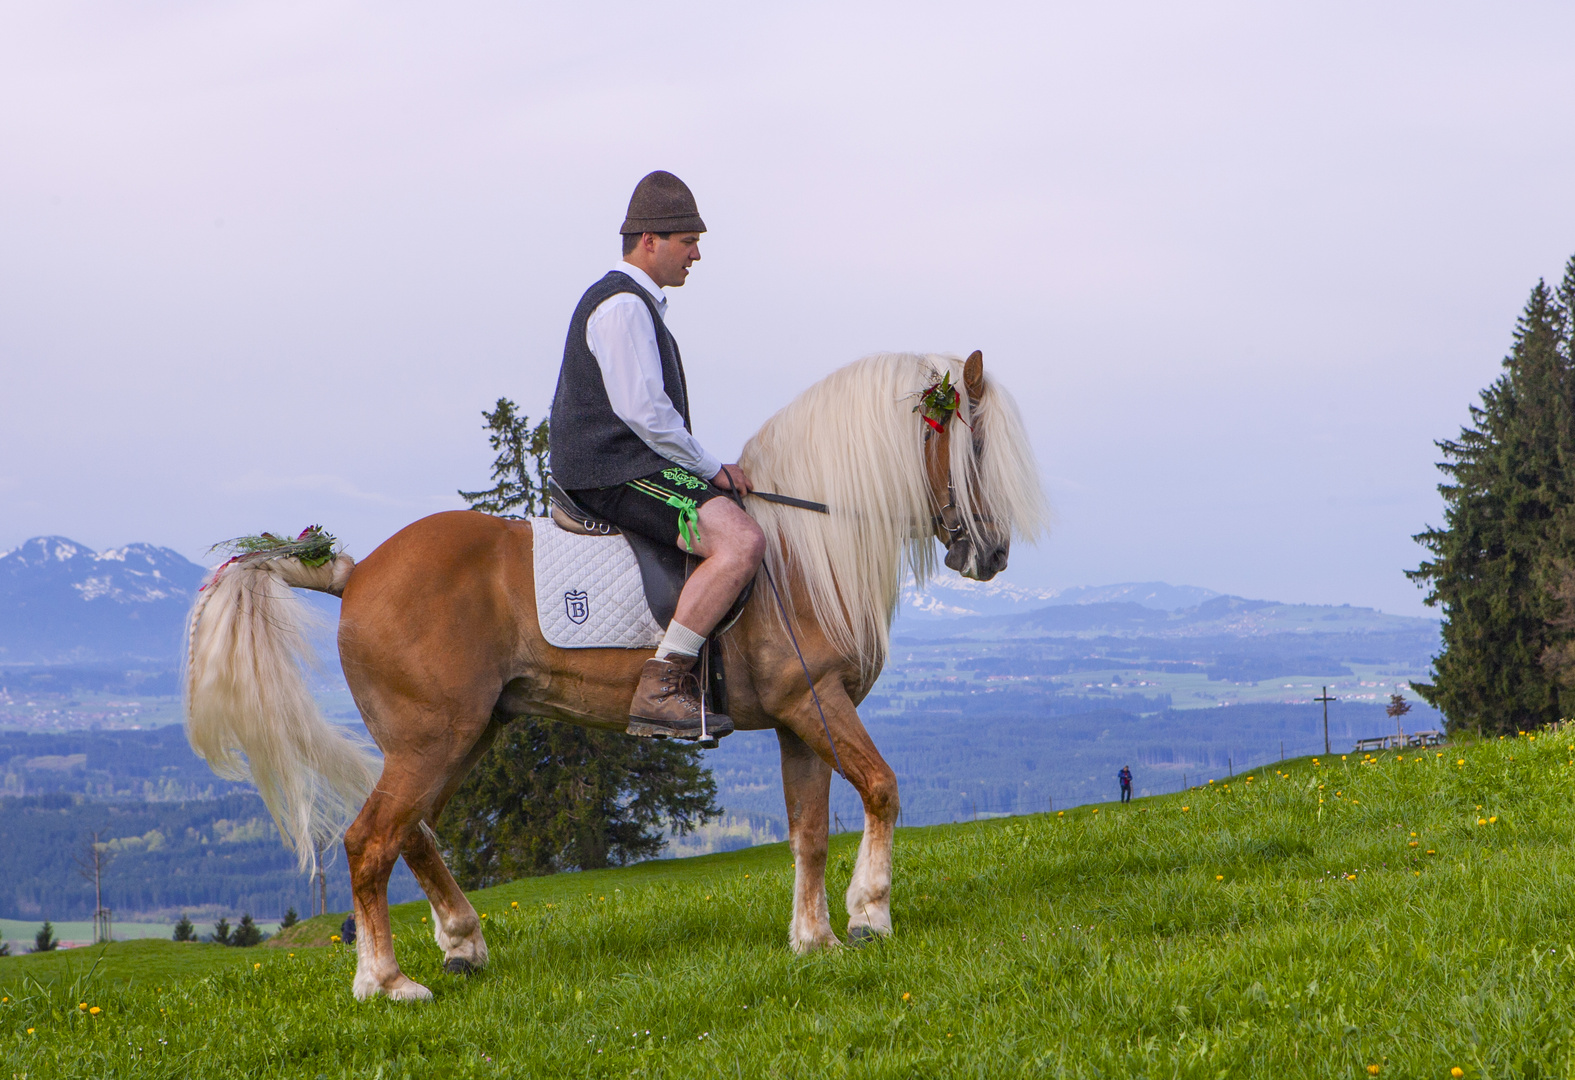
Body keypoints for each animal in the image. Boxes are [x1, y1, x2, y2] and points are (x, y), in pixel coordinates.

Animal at [184, 351, 1045, 1001]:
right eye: (973, 447)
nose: (992, 554)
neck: (803, 548)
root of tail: (357, 574)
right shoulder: (817, 701)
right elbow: (881, 789)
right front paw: (869, 917)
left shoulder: (801, 718)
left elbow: (807, 832)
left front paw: (814, 939)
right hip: (433, 738)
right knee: (370, 841)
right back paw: (388, 983)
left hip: (462, 734)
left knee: (412, 833)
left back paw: (461, 942)